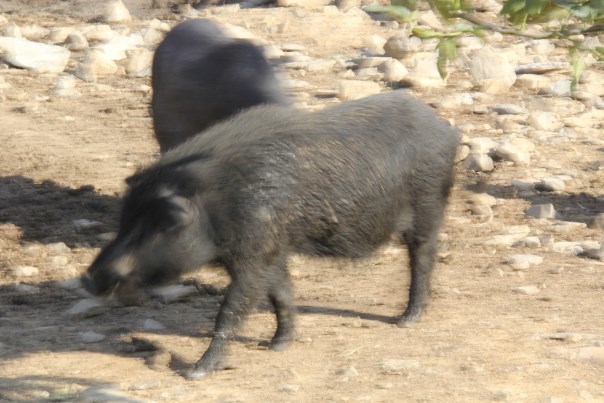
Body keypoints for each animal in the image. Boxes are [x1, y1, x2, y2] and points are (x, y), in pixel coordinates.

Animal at [80, 90, 458, 380]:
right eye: (125, 220)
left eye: (163, 223)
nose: (89, 277)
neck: (217, 202)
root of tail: (445, 127)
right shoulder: (271, 250)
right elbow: (281, 294)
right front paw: (275, 346)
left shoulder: (253, 251)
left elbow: (231, 309)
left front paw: (195, 373)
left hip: (428, 204)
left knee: (423, 257)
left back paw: (405, 321)